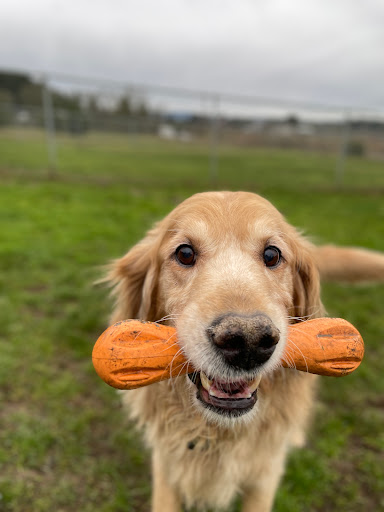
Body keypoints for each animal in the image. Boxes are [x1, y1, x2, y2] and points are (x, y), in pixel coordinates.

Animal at [104, 192, 384, 512]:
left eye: (272, 255)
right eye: (184, 253)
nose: (248, 341)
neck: (220, 432)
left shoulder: (265, 475)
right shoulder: (166, 466)